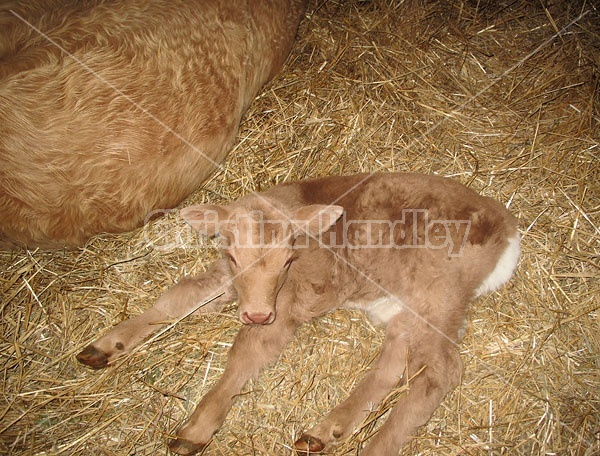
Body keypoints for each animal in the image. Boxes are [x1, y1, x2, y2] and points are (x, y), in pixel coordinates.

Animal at [78, 173, 520, 454]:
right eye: (233, 254)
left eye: (288, 259)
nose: (257, 313)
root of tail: (508, 227)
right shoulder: (226, 279)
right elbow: (176, 298)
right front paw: (105, 346)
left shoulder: (288, 305)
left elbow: (247, 352)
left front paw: (195, 430)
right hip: (406, 306)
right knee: (396, 363)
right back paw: (325, 432)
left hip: (437, 295)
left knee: (441, 371)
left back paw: (372, 448)